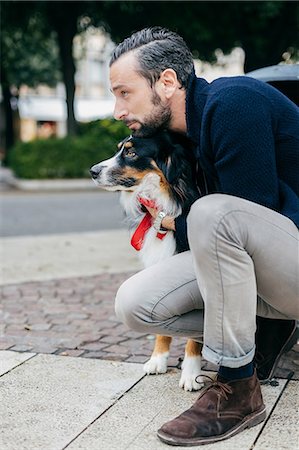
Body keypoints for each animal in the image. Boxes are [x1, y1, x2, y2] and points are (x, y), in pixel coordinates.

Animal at [90, 131, 209, 390]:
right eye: (119, 149)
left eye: (131, 152)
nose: (92, 171)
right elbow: (160, 330)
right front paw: (158, 360)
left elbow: (195, 338)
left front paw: (190, 374)